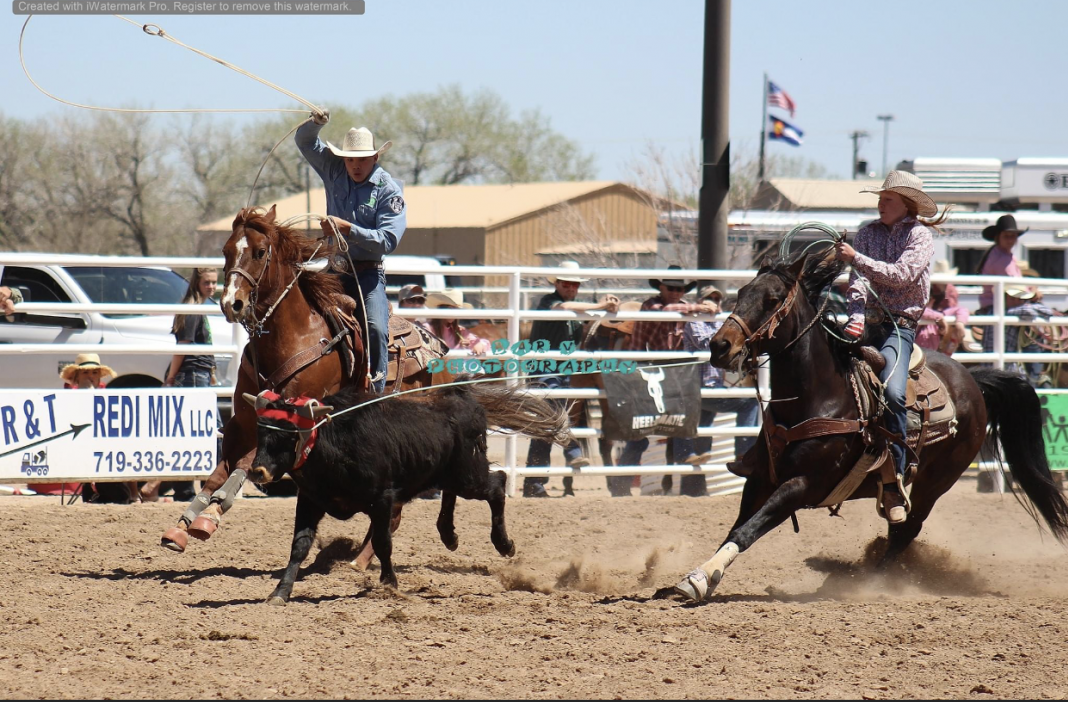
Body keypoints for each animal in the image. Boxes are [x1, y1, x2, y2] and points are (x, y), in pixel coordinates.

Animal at [158, 205, 433, 555]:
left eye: (260, 252)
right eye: (226, 250)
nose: (231, 303)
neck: (293, 338)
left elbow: (248, 463)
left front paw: (211, 516)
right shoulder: (242, 421)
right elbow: (222, 470)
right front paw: (183, 526)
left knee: (393, 510)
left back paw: (361, 560)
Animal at [674, 248, 1068, 598]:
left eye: (772, 300)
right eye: (741, 293)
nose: (719, 346)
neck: (818, 398)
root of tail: (973, 379)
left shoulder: (803, 485)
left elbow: (747, 531)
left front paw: (698, 581)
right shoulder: (760, 478)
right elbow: (737, 527)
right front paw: (702, 575)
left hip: (934, 484)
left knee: (906, 531)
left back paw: (869, 582)